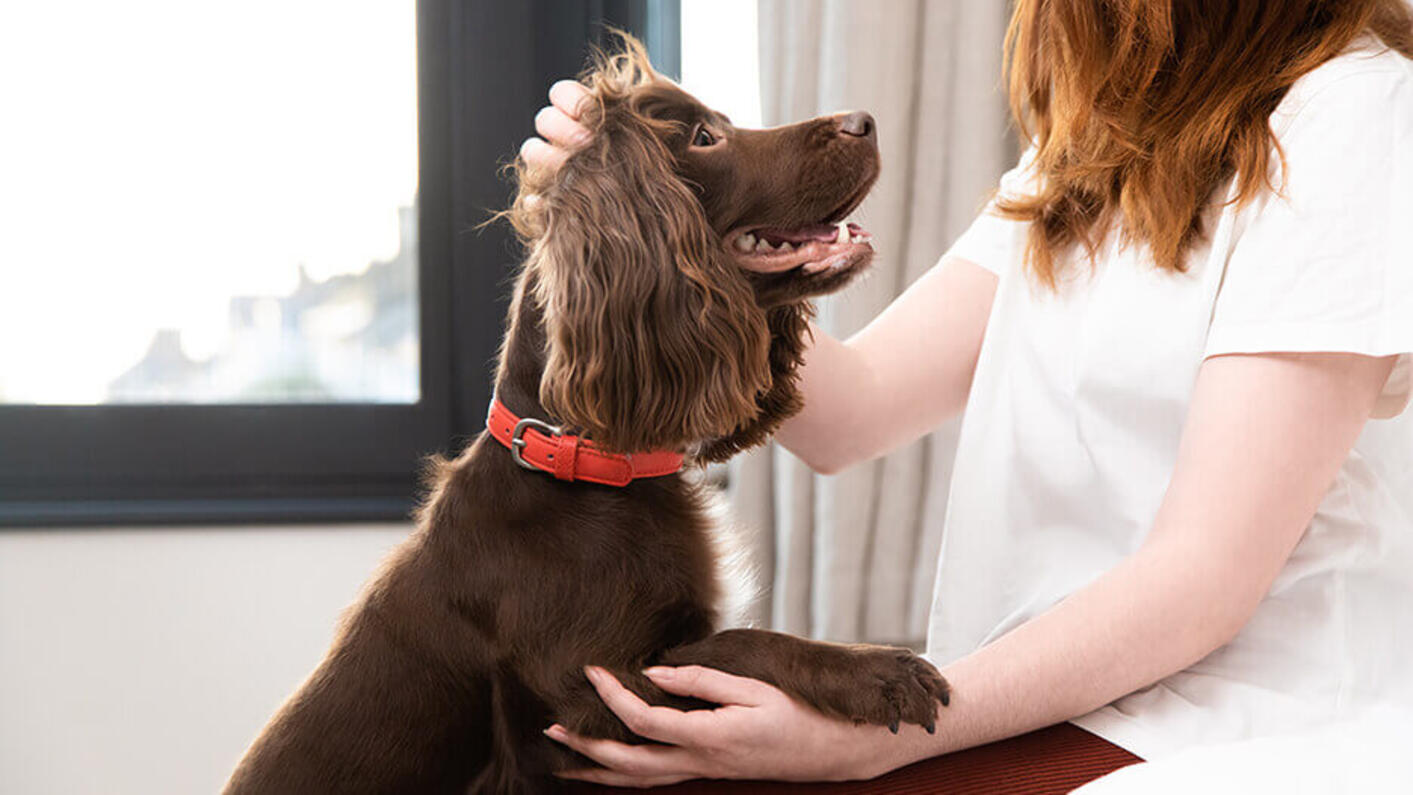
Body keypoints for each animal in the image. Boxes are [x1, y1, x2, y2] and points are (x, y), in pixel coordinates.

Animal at [223, 34, 949, 790]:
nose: (865, 121)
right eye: (703, 137)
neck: (587, 462)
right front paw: (876, 670)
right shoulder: (589, 702)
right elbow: (739, 642)